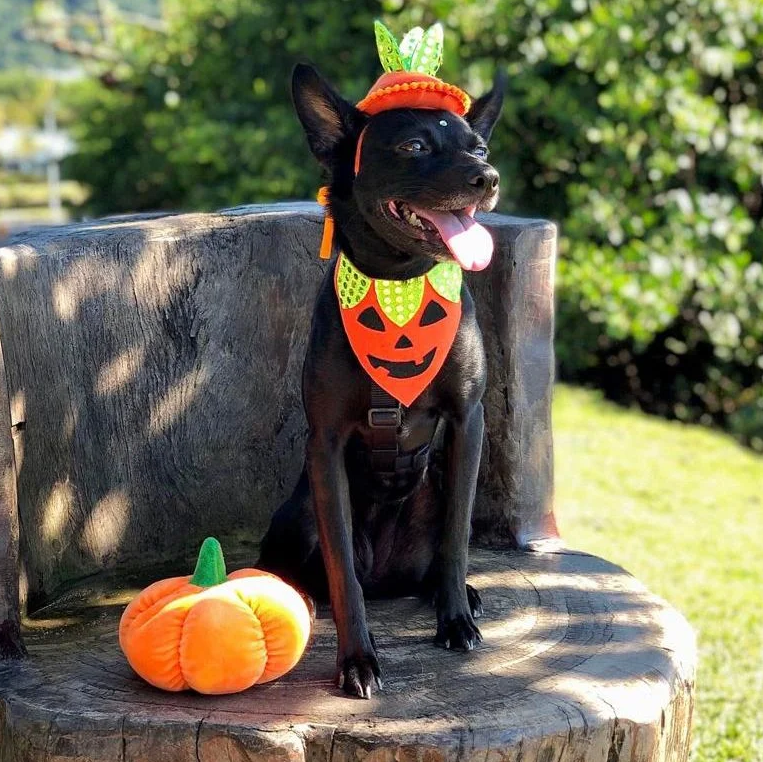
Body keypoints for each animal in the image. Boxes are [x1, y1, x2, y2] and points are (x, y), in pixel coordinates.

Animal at [260, 62, 504, 696]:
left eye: (479, 147)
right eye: (414, 147)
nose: (488, 177)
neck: (400, 284)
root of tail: (388, 575)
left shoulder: (468, 421)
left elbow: (457, 539)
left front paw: (456, 620)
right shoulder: (325, 444)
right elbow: (342, 570)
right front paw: (357, 660)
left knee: (437, 558)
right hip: (297, 514)